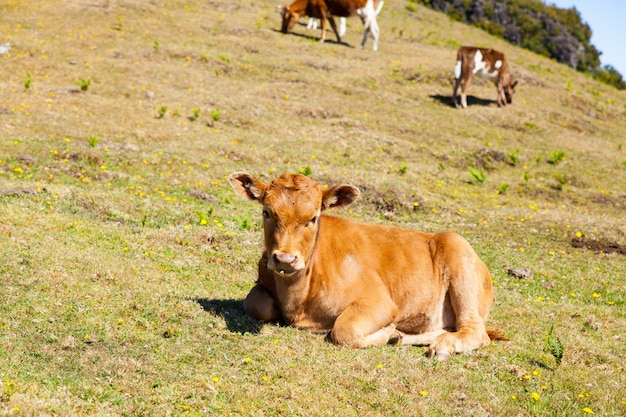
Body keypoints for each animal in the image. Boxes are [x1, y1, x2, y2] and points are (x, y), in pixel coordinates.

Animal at [227, 171, 504, 360]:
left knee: (475, 331)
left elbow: (344, 330)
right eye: (266, 212)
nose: (285, 259)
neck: (298, 300)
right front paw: (394, 334)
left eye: (313, 218)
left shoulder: (379, 302)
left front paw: (387, 332)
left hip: (460, 263)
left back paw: (441, 346)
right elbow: (255, 302)